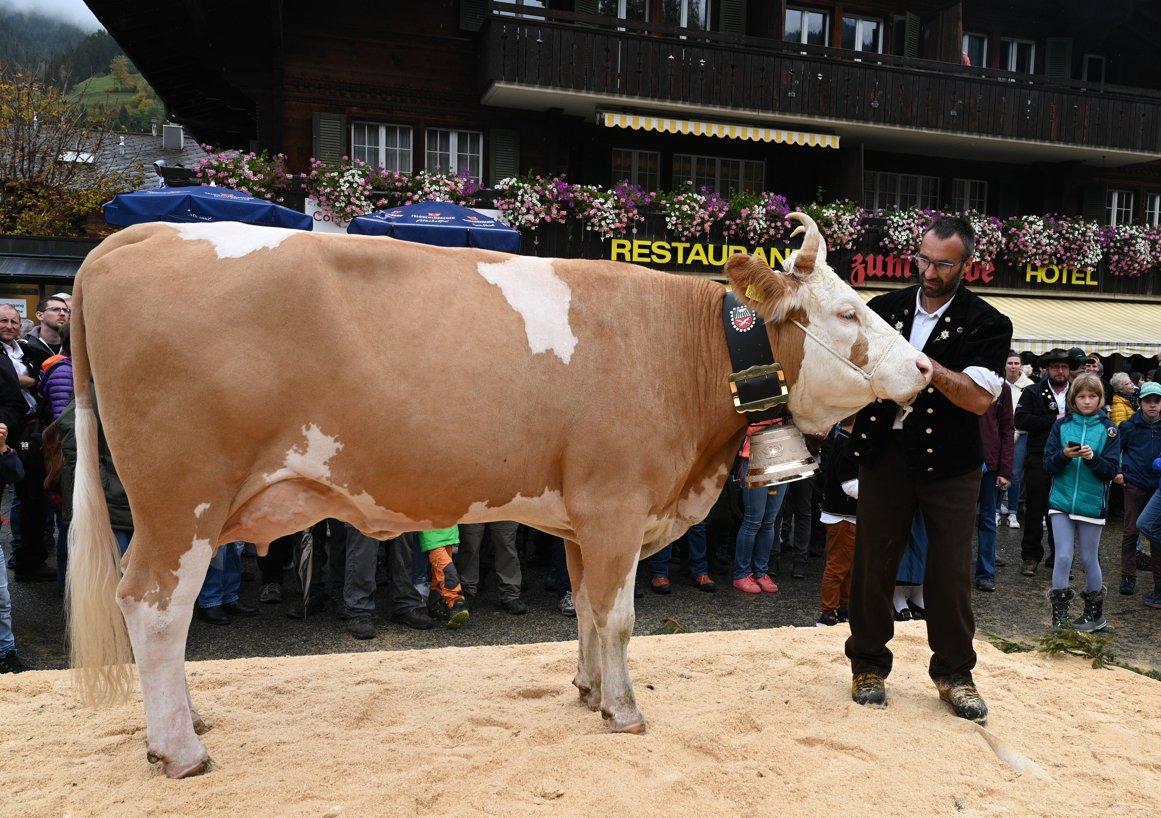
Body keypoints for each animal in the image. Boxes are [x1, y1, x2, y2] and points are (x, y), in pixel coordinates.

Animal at [65, 213, 933, 775]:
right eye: (847, 311)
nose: (924, 370)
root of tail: (142, 234)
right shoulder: (617, 504)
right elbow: (620, 618)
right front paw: (623, 711)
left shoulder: (584, 517)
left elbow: (588, 612)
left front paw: (586, 691)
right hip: (181, 500)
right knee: (153, 606)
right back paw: (181, 748)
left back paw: (180, 723)